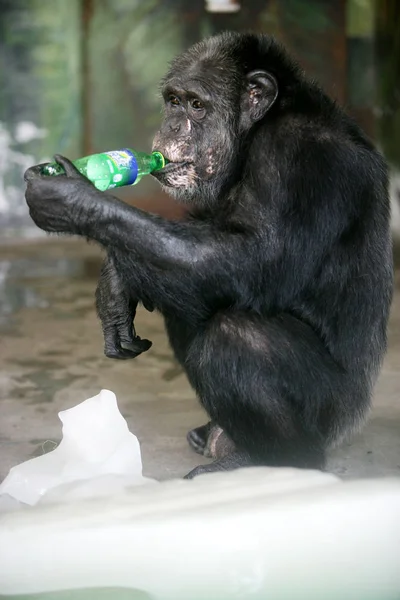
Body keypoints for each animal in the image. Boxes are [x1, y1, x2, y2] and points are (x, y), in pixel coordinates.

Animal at [23, 30, 392, 478]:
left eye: (196, 105)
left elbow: (255, 260)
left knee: (235, 335)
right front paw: (115, 287)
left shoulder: (304, 159)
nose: (171, 124)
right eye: (173, 101)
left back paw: (274, 462)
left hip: (331, 415)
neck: (255, 134)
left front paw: (75, 199)